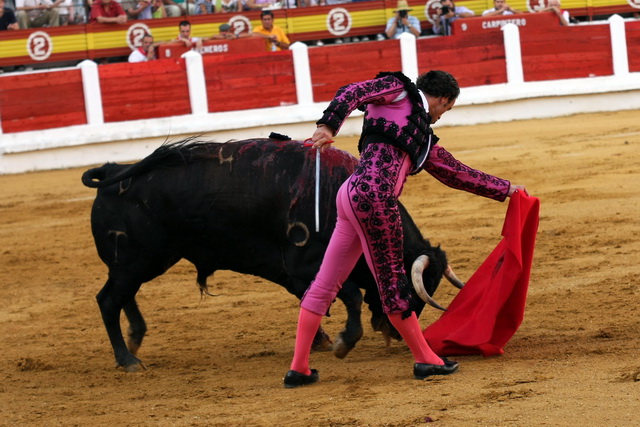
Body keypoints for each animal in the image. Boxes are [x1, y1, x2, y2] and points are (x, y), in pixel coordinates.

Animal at [82, 139, 462, 372]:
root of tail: (113, 170)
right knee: (108, 300)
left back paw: (136, 338)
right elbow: (349, 297)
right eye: (416, 288)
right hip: (138, 261)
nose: (396, 333)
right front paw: (341, 342)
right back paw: (127, 359)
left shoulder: (295, 274)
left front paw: (322, 340)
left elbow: (320, 300)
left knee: (123, 295)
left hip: (142, 262)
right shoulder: (305, 266)